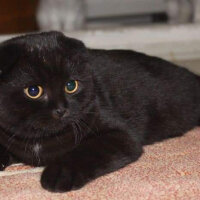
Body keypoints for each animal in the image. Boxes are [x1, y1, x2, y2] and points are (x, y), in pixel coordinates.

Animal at [0, 32, 200, 193]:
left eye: (71, 85)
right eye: (33, 91)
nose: (61, 109)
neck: (40, 140)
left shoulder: (121, 136)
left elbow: (86, 151)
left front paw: (60, 174)